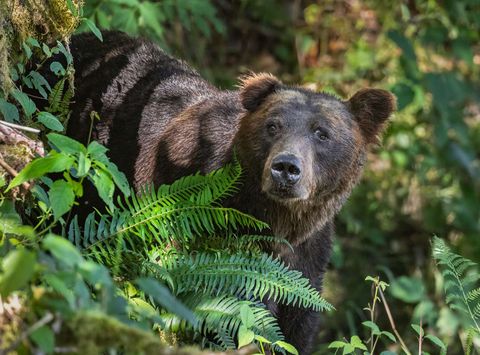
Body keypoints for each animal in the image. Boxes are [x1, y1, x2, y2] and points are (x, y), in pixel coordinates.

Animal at [63, 32, 394, 354]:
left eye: (321, 133)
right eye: (273, 126)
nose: (286, 167)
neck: (276, 220)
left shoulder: (308, 257)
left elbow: (298, 323)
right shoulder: (211, 233)